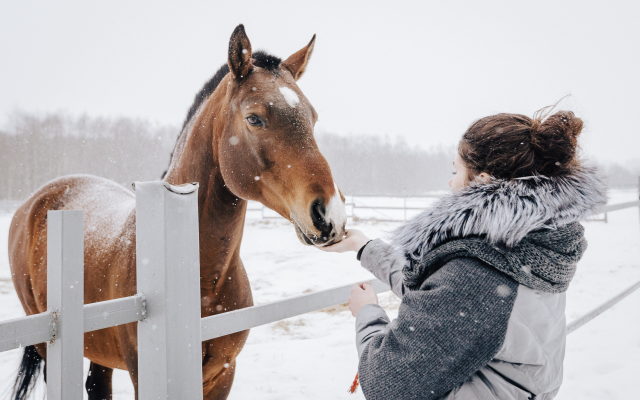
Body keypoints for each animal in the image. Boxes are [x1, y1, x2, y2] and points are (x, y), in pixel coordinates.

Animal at [8, 25, 344, 400]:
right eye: (254, 118)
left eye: (312, 117)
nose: (330, 214)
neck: (200, 282)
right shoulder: (144, 376)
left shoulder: (223, 374)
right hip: (48, 345)